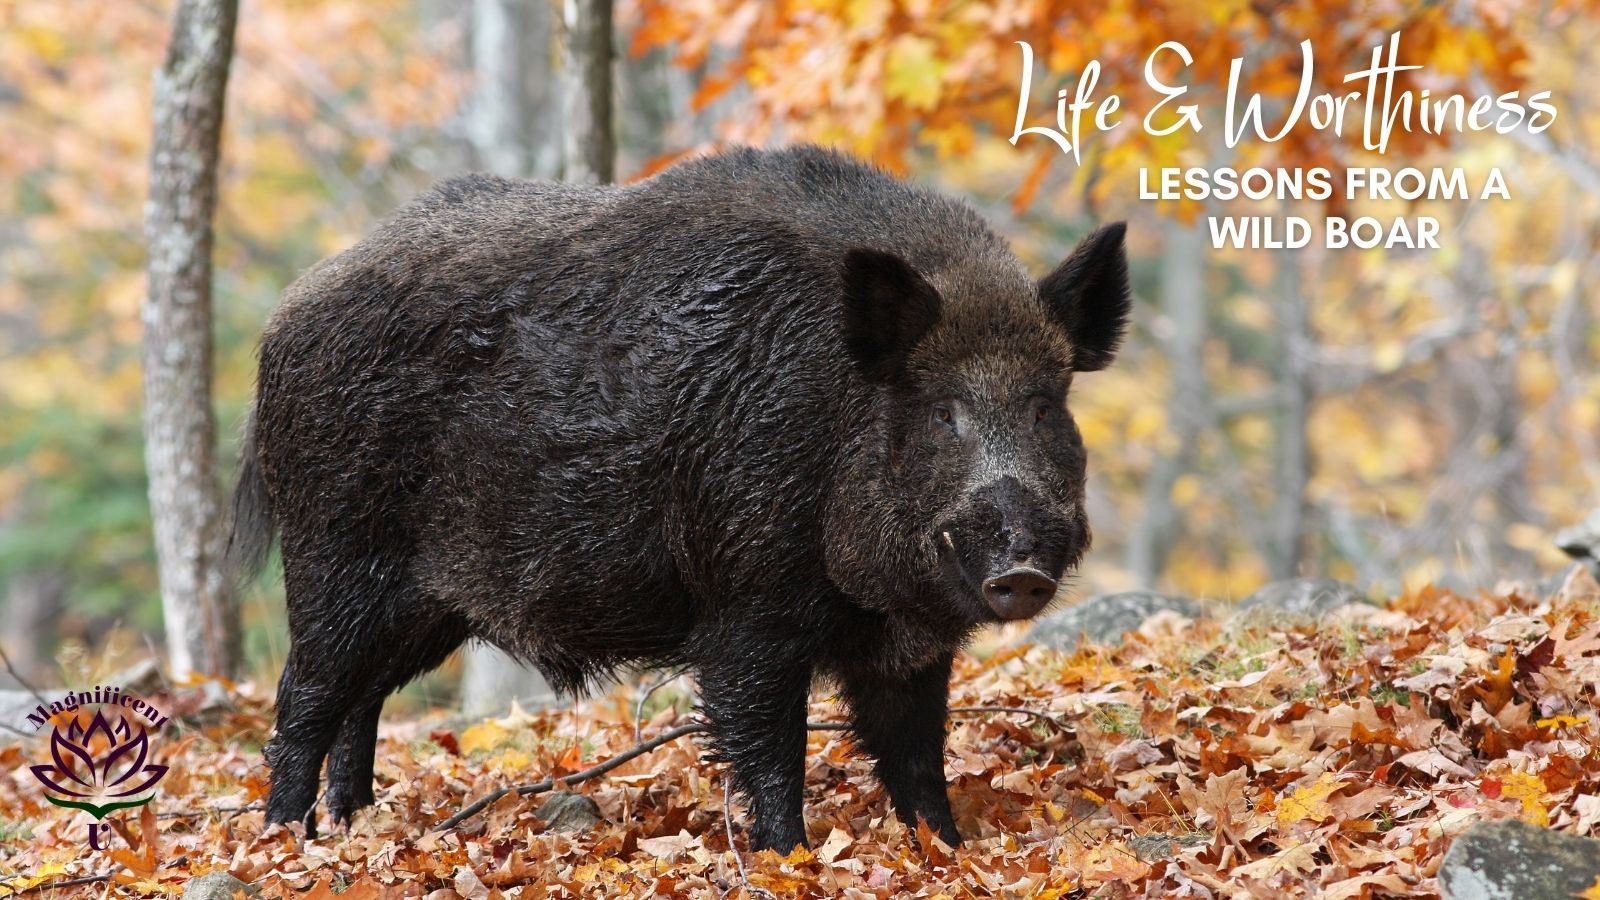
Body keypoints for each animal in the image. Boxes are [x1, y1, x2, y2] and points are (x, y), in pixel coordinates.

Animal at [230, 145, 1130, 851]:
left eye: (1045, 406)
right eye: (942, 411)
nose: (1020, 569)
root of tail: (282, 319)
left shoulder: (906, 645)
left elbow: (916, 753)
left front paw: (944, 849)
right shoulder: (747, 606)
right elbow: (768, 743)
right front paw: (786, 857)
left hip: (424, 605)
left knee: (362, 699)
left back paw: (353, 824)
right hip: (334, 552)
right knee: (305, 694)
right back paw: (287, 839)